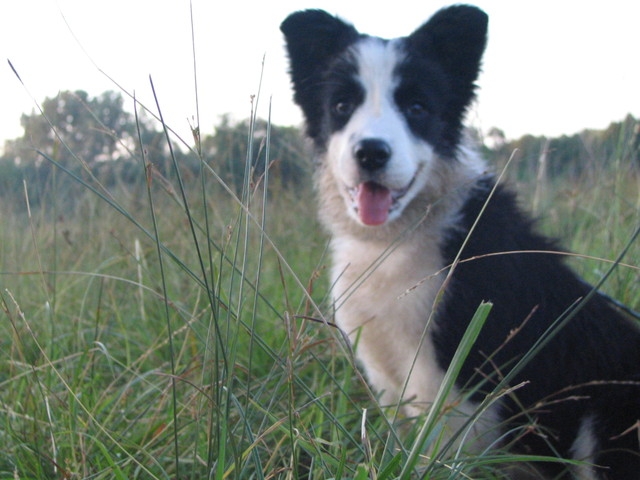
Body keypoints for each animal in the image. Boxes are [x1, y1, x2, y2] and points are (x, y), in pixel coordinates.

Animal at [281, 5, 640, 478]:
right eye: (342, 105)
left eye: (417, 107)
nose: (372, 153)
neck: (399, 239)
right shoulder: (388, 375)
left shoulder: (455, 382)